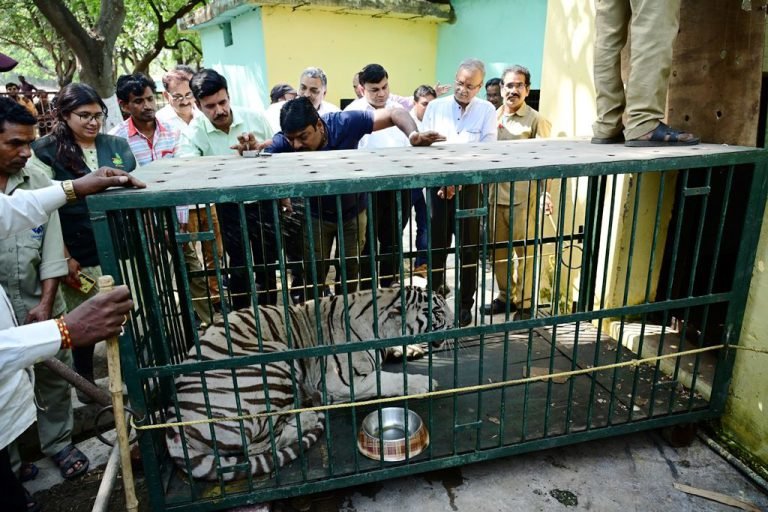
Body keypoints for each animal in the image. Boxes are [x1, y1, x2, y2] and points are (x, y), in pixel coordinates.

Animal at [166, 286, 452, 481]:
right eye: (438, 311)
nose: (457, 322)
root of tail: (172, 419)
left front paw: (411, 349)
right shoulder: (339, 382)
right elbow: (386, 378)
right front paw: (423, 382)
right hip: (273, 361)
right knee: (259, 444)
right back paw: (309, 416)